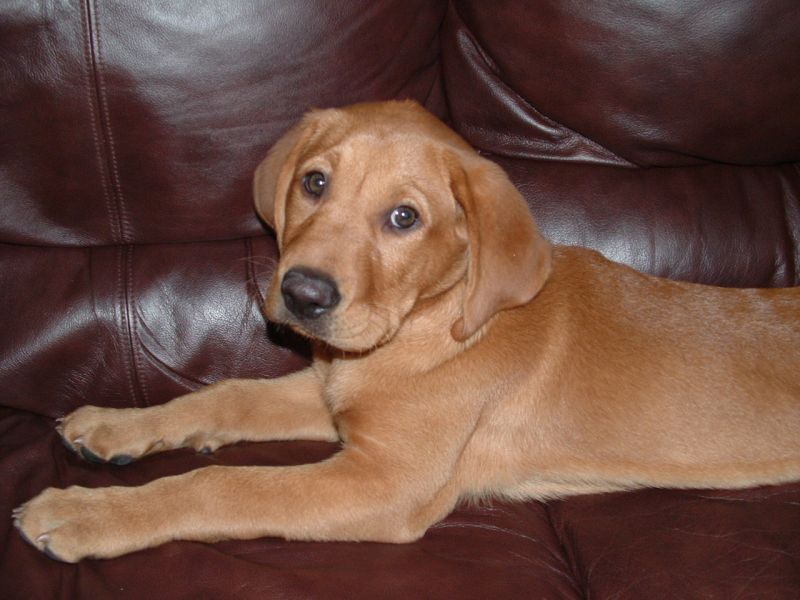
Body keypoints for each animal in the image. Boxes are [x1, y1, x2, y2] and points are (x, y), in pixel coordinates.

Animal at [14, 100, 800, 562]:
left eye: (404, 218)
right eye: (315, 183)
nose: (302, 293)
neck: (425, 326)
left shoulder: (386, 479)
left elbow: (225, 487)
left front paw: (87, 515)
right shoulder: (334, 395)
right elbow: (225, 395)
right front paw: (117, 426)